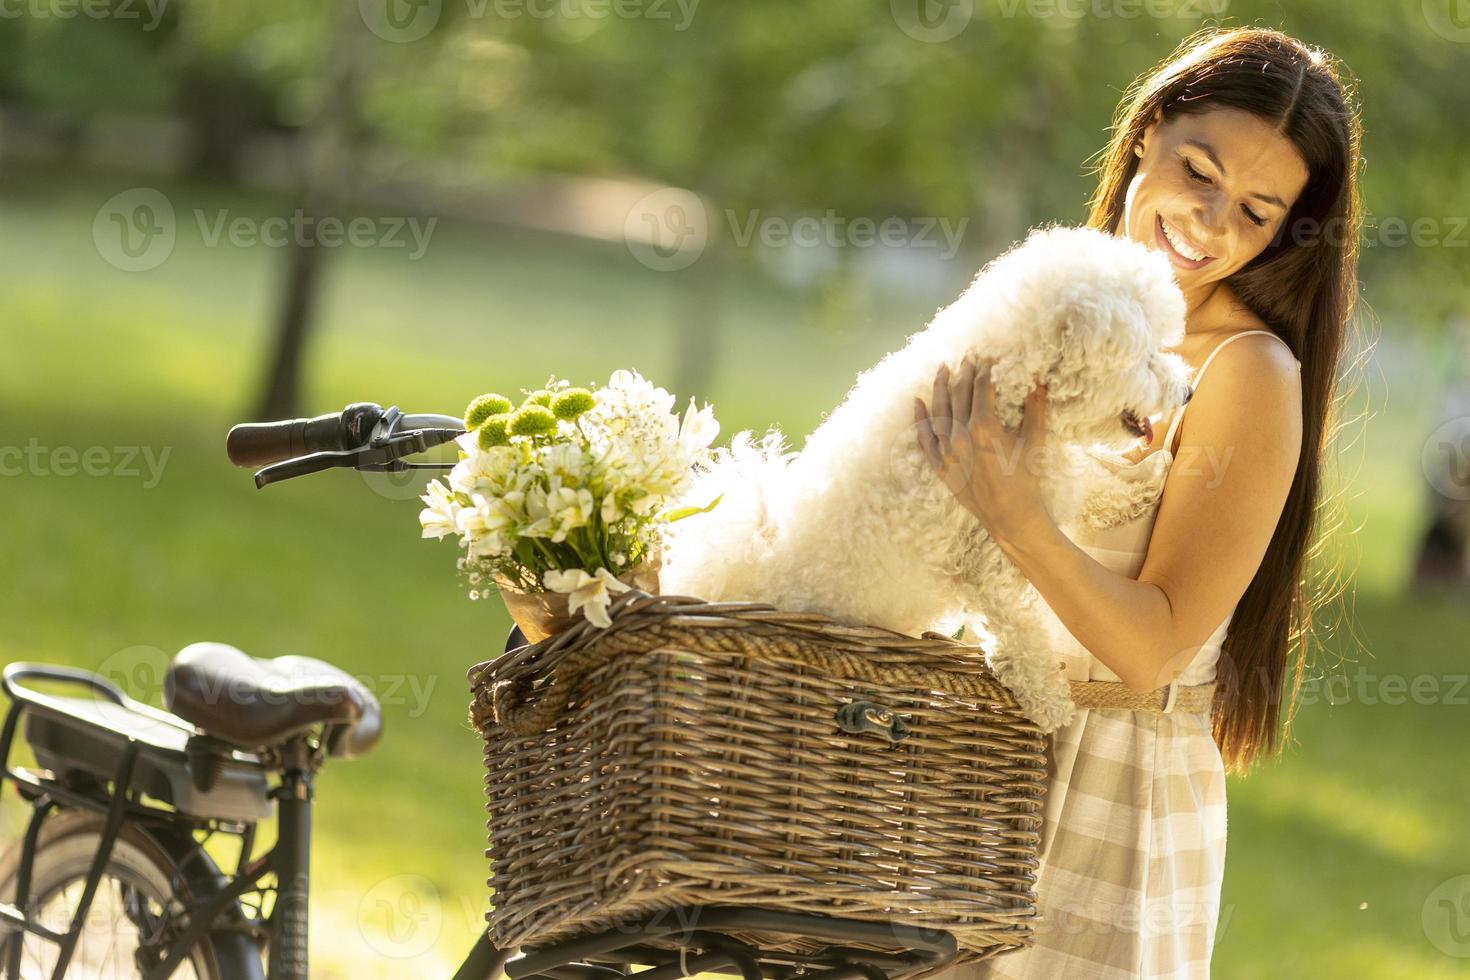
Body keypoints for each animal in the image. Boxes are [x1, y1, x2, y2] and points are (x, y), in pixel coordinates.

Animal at [655, 220, 1193, 728]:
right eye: (1147, 356)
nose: (1187, 391)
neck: (1003, 390)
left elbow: (1089, 484)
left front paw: (1138, 491)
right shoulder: (993, 554)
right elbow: (1019, 629)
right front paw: (1048, 698)